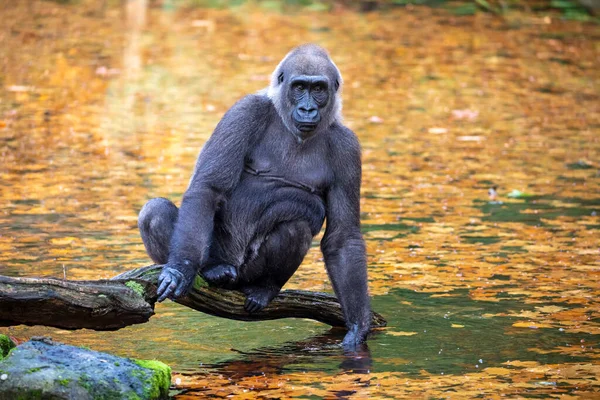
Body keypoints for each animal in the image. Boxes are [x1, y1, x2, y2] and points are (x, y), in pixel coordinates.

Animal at [140, 43, 372, 346]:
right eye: (299, 87)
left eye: (319, 89)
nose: (307, 108)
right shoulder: (246, 111)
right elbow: (208, 188)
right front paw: (182, 268)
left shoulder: (347, 147)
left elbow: (343, 238)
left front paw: (358, 324)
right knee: (154, 212)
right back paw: (211, 269)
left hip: (246, 275)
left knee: (296, 225)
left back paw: (265, 287)